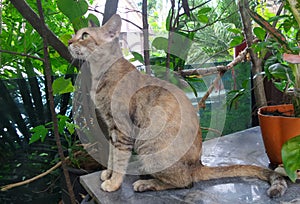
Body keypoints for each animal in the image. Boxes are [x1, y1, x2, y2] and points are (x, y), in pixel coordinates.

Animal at [68, 14, 288, 198]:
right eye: (74, 34)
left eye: (84, 35)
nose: (69, 41)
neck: (100, 73)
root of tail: (198, 165)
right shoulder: (111, 127)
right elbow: (113, 156)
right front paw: (109, 174)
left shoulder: (122, 128)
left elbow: (120, 158)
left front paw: (113, 183)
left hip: (148, 146)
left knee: (185, 181)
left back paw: (146, 183)